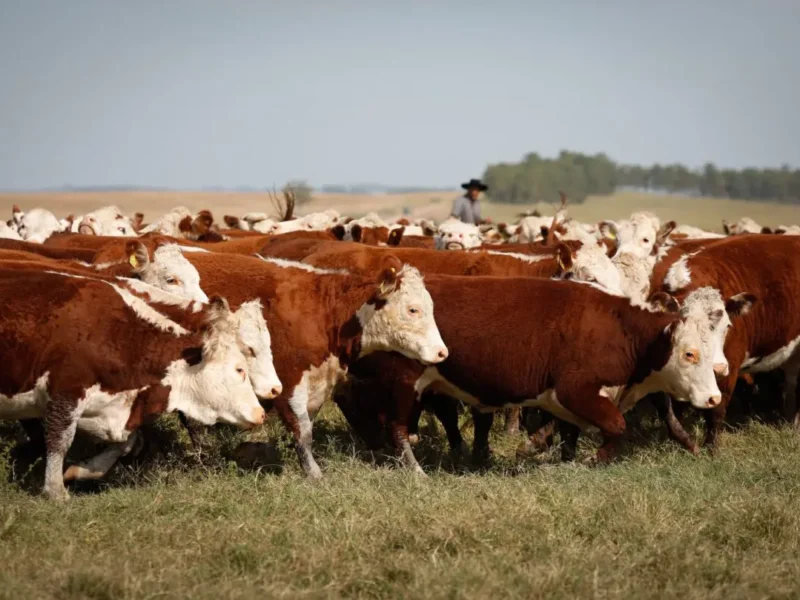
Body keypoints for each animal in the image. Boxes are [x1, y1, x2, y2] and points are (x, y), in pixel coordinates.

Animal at [0, 270, 270, 500]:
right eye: (240, 369)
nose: (261, 413)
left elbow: (127, 442)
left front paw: (81, 470)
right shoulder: (66, 391)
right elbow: (59, 440)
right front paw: (55, 491)